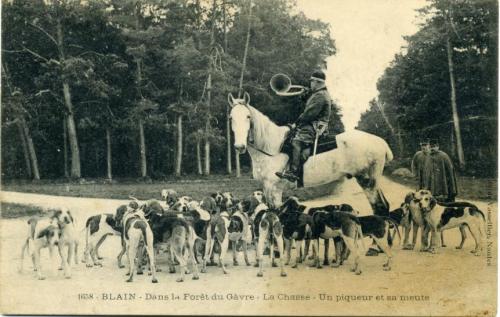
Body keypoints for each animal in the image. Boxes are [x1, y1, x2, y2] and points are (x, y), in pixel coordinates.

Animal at [229, 91, 394, 214]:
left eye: (248, 116)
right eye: (231, 118)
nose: (239, 146)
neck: (273, 147)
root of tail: (380, 142)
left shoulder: (275, 189)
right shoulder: (266, 188)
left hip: (368, 182)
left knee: (380, 207)